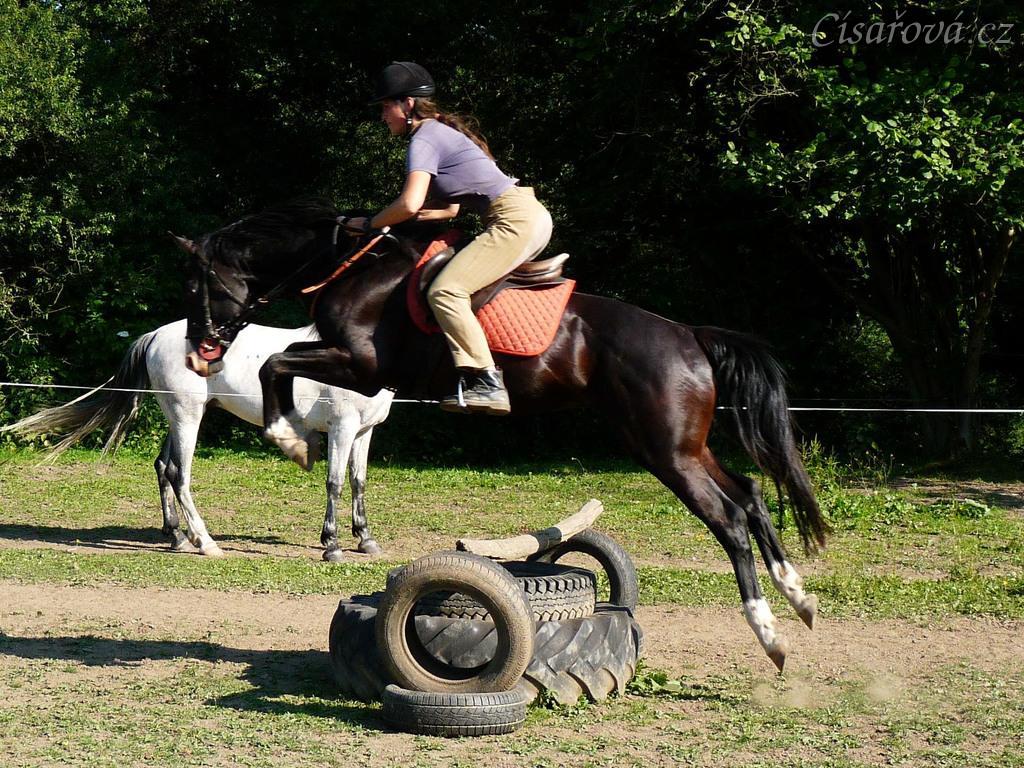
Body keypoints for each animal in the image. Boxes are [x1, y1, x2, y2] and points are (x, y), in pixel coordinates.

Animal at [2, 319, 393, 560]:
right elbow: (335, 483)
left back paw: (177, 537)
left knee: (162, 466)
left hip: (178, 417)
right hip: (188, 415)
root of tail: (156, 335)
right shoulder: (342, 428)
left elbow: (359, 482)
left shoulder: (364, 431)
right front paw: (332, 546)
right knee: (179, 474)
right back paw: (205, 543)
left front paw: (366, 539)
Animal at [175, 201, 830, 671]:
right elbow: (278, 365)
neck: (353, 267)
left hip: (664, 449)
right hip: (683, 446)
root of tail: (690, 335)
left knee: (730, 517)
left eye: (196, 285)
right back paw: (797, 595)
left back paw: (768, 631)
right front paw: (291, 436)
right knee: (750, 493)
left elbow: (274, 364)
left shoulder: (361, 366)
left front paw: (288, 436)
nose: (198, 349)